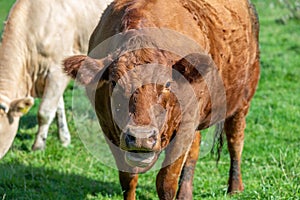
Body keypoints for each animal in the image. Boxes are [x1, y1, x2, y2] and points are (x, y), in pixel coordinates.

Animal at [63, 0, 260, 199]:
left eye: (167, 83)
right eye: (113, 82)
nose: (141, 137)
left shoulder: (185, 126)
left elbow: (166, 182)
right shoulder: (109, 128)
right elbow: (128, 178)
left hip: (243, 100)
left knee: (235, 140)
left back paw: (235, 187)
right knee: (195, 150)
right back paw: (185, 193)